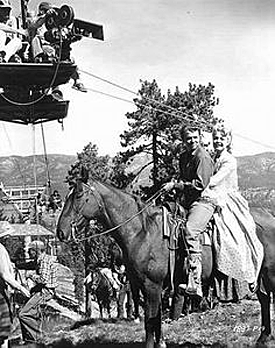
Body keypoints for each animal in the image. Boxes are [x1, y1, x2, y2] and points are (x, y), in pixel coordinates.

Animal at [56, 179, 275, 348]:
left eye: (78, 195)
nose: (61, 232)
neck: (142, 231)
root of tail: (269, 215)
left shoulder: (151, 285)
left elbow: (150, 321)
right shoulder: (151, 286)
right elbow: (157, 319)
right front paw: (161, 343)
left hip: (269, 272)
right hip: (259, 274)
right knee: (264, 299)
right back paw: (263, 338)